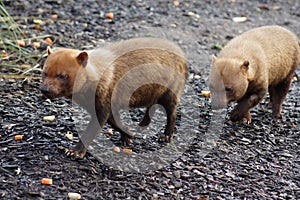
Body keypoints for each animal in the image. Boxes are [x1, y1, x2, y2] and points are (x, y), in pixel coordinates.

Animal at [39, 37, 188, 159]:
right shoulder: (105, 105)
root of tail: (183, 57)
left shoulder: (103, 103)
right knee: (152, 106)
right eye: (44, 72)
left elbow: (91, 130)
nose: (44, 89)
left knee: (172, 112)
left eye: (62, 75)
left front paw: (74, 152)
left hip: (170, 91)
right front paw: (128, 136)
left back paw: (166, 136)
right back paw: (141, 125)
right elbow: (115, 123)